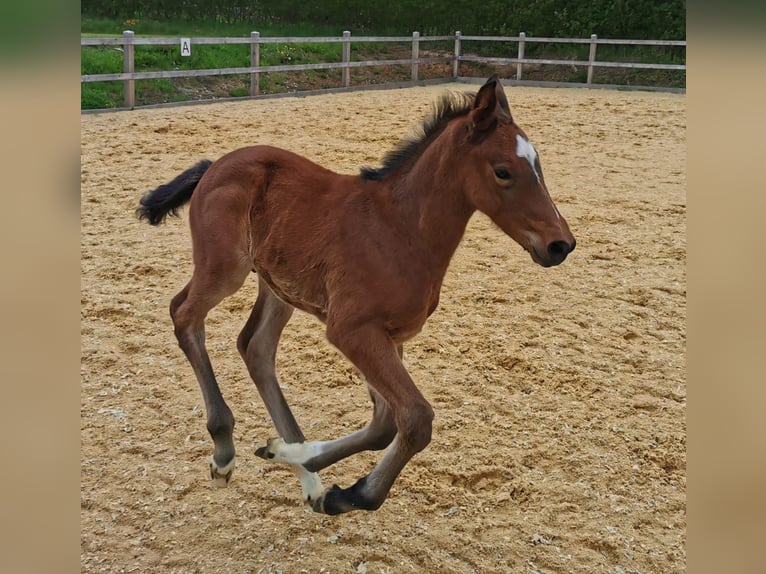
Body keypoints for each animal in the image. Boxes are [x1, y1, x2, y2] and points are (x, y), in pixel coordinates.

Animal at [136, 75, 575, 515]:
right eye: (503, 171)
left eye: (538, 165)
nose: (561, 244)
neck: (400, 230)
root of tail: (215, 165)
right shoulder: (351, 330)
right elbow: (415, 418)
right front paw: (351, 492)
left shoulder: (389, 336)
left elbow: (385, 423)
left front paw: (300, 462)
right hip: (226, 269)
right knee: (184, 314)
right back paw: (224, 449)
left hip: (278, 286)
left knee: (255, 346)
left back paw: (305, 474)